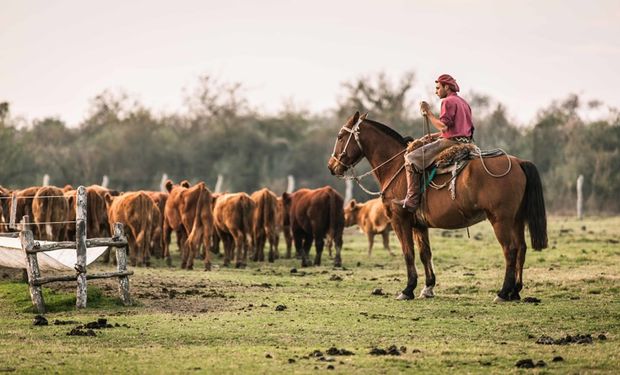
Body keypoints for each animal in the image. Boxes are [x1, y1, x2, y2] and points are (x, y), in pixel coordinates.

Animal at [326, 112, 544, 302]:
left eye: (340, 136)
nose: (331, 166)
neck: (396, 167)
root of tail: (518, 162)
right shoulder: (419, 225)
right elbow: (425, 254)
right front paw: (428, 287)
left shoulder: (400, 220)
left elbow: (408, 253)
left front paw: (408, 289)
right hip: (516, 220)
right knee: (522, 248)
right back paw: (515, 291)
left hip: (500, 220)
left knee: (510, 250)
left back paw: (503, 292)